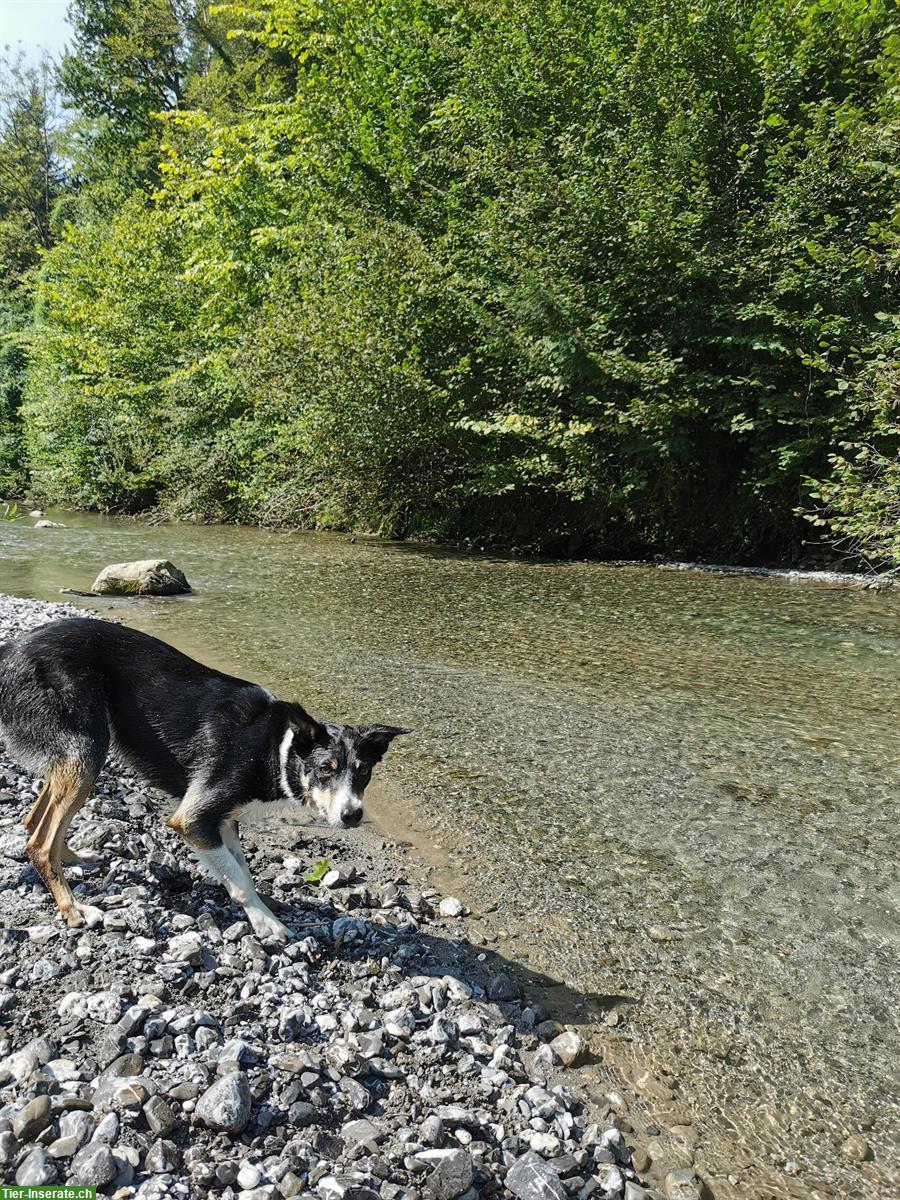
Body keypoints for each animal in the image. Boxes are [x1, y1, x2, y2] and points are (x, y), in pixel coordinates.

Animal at [0, 624, 408, 940]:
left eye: (364, 772)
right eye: (325, 769)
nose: (353, 815)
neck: (275, 747)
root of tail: (11, 650)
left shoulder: (224, 821)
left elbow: (242, 872)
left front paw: (261, 909)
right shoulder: (193, 820)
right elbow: (238, 881)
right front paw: (267, 923)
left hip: (74, 759)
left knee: (33, 821)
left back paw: (71, 857)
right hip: (87, 751)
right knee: (39, 842)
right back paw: (72, 908)